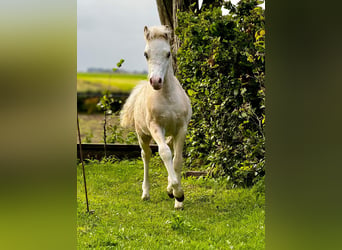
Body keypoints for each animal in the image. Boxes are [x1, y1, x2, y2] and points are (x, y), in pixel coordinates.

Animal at [120, 25, 191, 209]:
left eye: (168, 53)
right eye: (146, 54)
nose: (156, 81)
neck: (168, 98)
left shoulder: (181, 129)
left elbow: (177, 160)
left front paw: (177, 199)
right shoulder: (156, 127)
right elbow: (164, 153)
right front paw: (178, 193)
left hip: (170, 133)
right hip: (142, 135)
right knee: (146, 155)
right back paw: (145, 193)